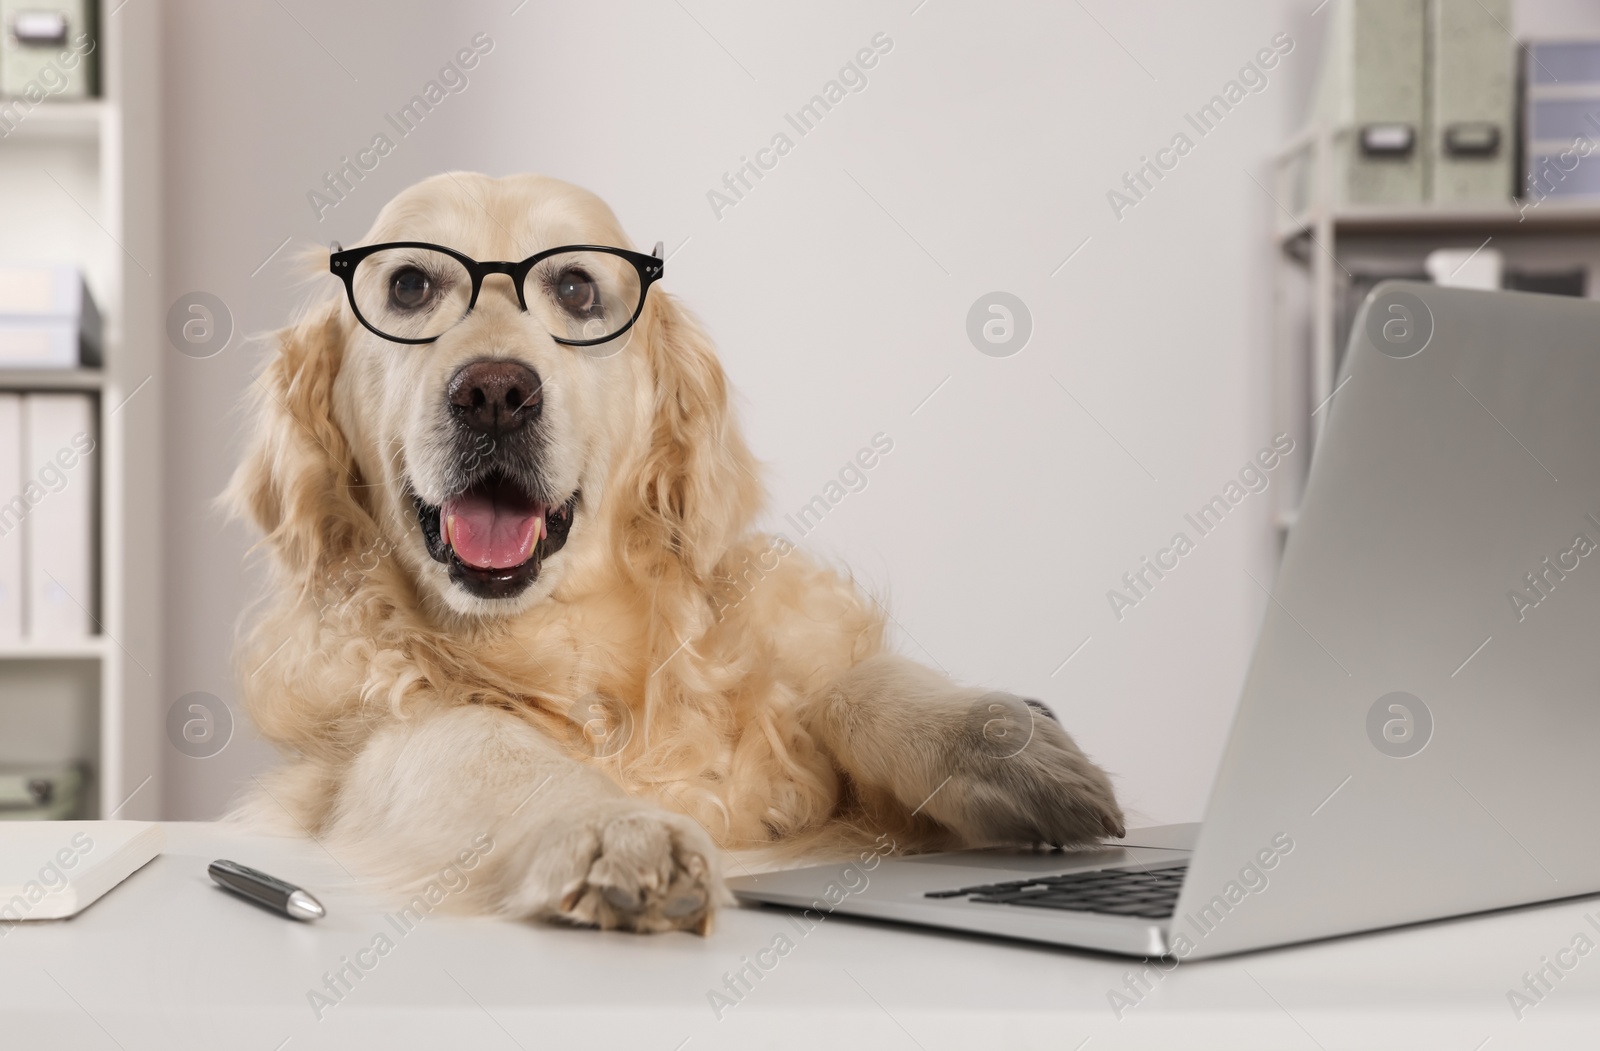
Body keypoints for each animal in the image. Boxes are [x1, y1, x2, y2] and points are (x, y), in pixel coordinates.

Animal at [232, 171, 1126, 934]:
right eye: (410, 286)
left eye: (575, 288)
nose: (495, 394)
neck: (558, 637)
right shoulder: (360, 758)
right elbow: (480, 741)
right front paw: (615, 826)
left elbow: (847, 684)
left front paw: (1005, 742)